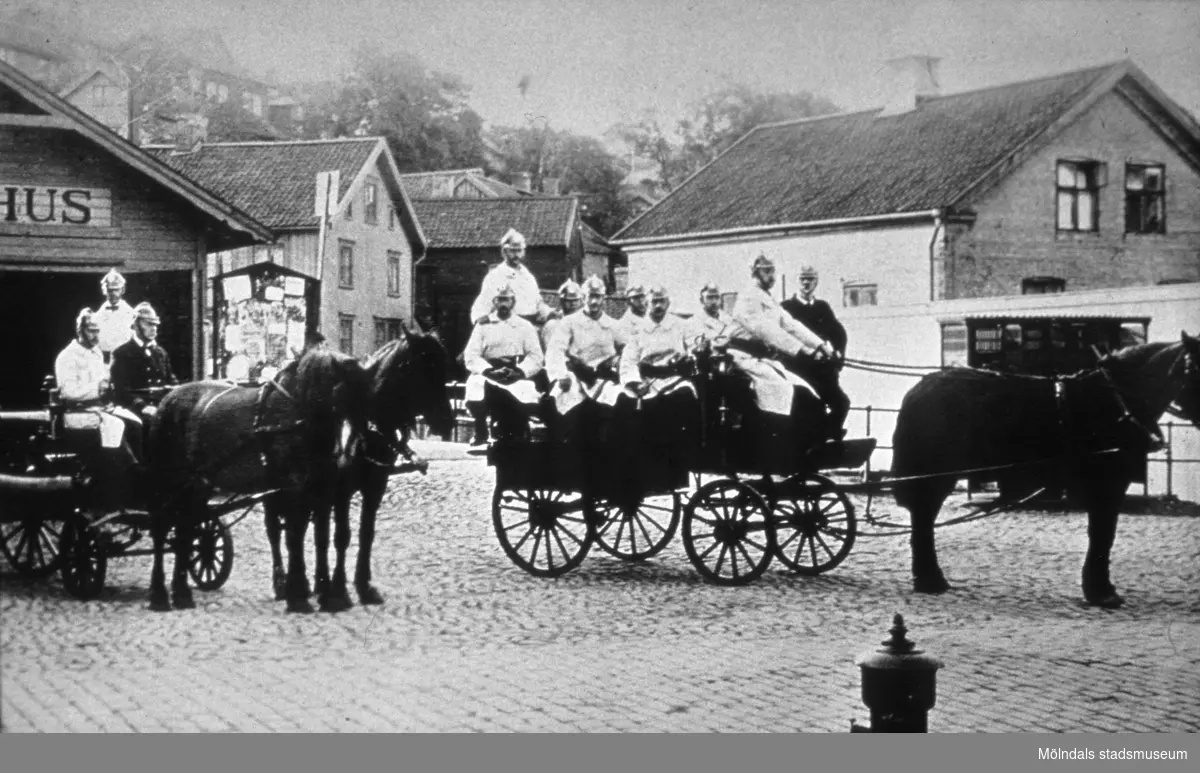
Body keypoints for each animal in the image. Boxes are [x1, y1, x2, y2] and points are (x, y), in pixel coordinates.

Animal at [148, 343, 367, 609]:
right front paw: (298, 596)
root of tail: (167, 399)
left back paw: (181, 593)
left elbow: (318, 536)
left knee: (185, 529)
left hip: (197, 485)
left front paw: (324, 594)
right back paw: (159, 594)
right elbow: (295, 535)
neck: (295, 415)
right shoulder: (294, 488)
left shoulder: (319, 488)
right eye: (338, 395)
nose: (348, 454)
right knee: (162, 527)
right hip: (168, 480)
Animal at [262, 324, 453, 612]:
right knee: (277, 530)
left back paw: (313, 584)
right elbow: (341, 535)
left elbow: (365, 534)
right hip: (279, 487)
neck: (368, 428)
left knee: (308, 529)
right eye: (420, 367)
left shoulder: (374, 487)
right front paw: (339, 591)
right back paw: (285, 584)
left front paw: (362, 586)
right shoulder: (341, 490)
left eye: (443, 366)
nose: (446, 420)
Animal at [897, 331, 1195, 609]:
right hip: (937, 476)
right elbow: (1102, 534)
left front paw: (1099, 588)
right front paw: (1101, 592)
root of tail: (919, 388)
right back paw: (929, 580)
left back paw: (930, 579)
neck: (1115, 400)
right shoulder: (1107, 483)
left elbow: (1102, 534)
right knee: (923, 518)